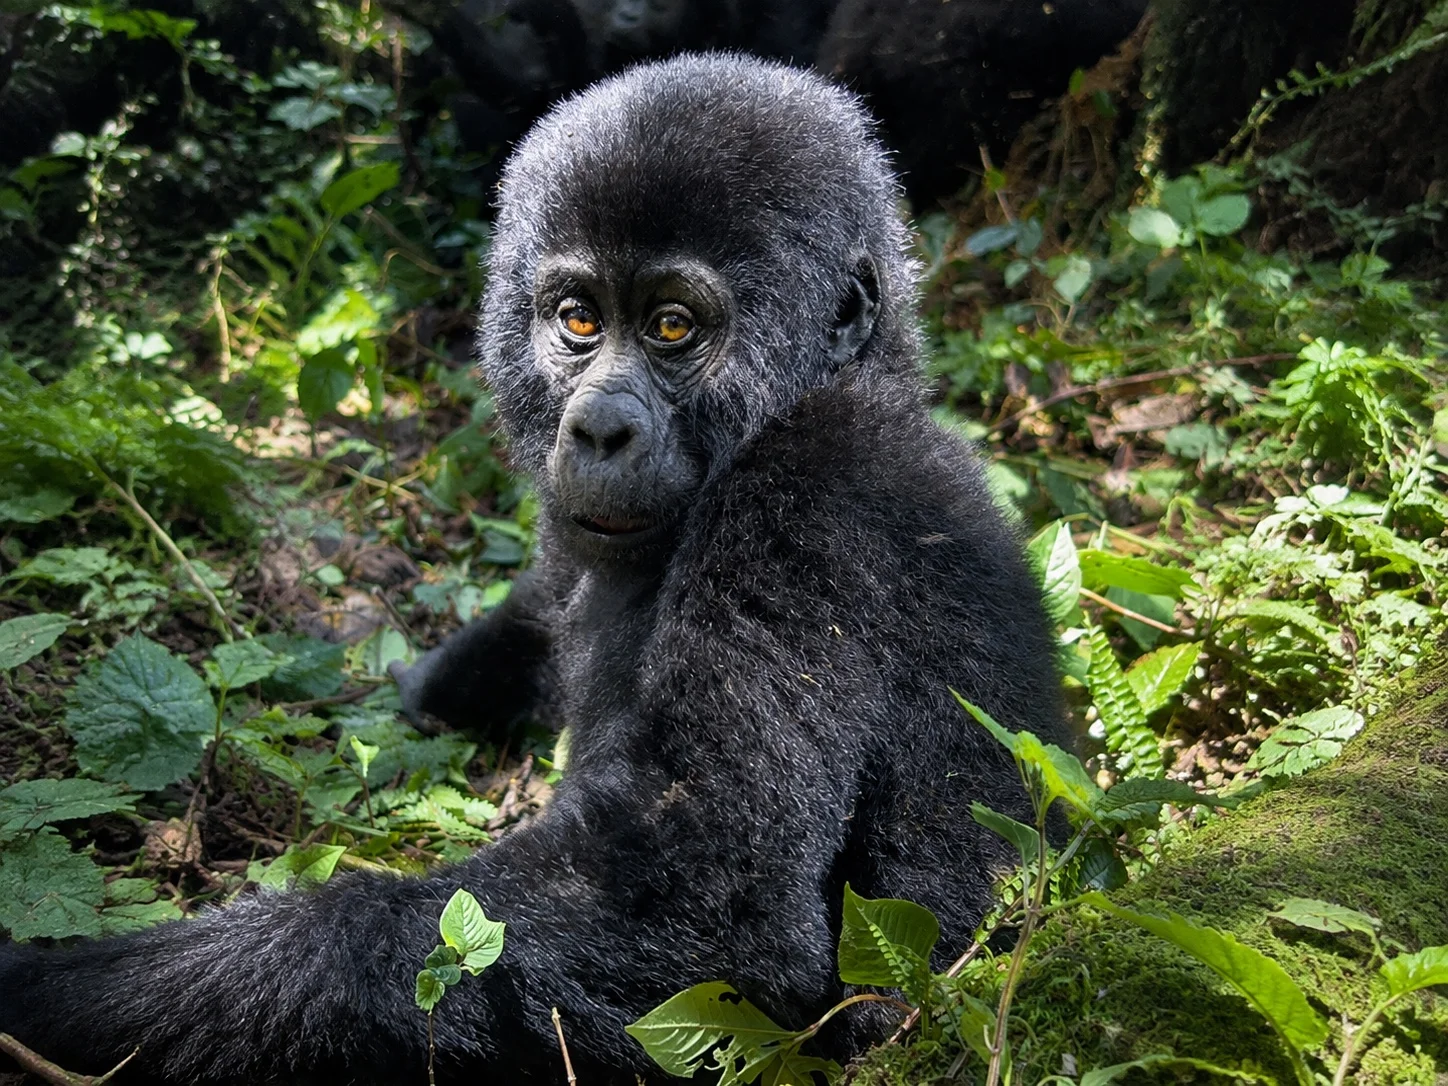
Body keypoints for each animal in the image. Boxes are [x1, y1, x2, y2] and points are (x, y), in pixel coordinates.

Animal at [0, 53, 1064, 1084]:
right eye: (578, 320)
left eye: (672, 327)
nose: (597, 429)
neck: (834, 384)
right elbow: (540, 609)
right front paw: (405, 690)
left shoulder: (813, 503)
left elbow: (707, 895)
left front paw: (75, 994)